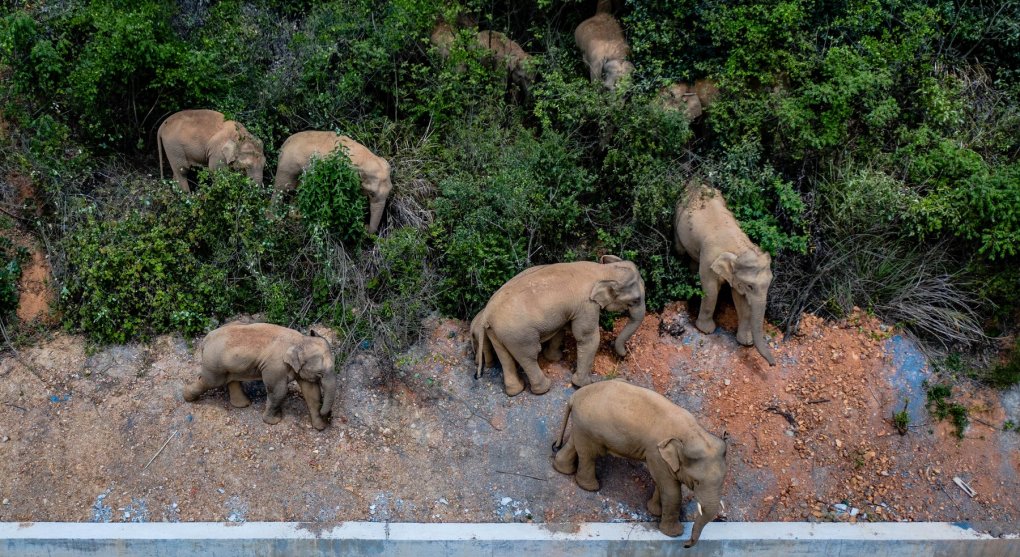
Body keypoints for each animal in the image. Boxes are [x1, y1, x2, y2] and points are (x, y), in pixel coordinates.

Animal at [469, 255, 644, 393]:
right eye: (636, 300)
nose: (624, 354)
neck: (603, 270)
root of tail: (487, 314)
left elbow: (561, 329)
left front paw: (555, 358)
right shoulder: (586, 305)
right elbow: (587, 337)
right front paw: (584, 384)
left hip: (497, 332)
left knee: (505, 357)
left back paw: (515, 391)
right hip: (518, 335)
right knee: (529, 355)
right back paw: (544, 388)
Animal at [554, 379, 730, 542]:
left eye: (723, 480)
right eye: (697, 481)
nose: (686, 544)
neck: (692, 432)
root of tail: (575, 396)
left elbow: (662, 483)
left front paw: (655, 511)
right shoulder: (656, 453)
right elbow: (671, 491)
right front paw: (674, 534)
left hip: (582, 425)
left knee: (575, 444)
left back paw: (561, 469)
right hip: (590, 427)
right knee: (589, 454)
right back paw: (590, 488)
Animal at [673, 179, 775, 367]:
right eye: (750, 286)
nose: (773, 364)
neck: (739, 248)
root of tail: (696, 182)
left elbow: (740, 300)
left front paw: (746, 342)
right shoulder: (709, 258)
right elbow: (711, 289)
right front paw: (706, 330)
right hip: (677, 216)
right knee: (680, 250)